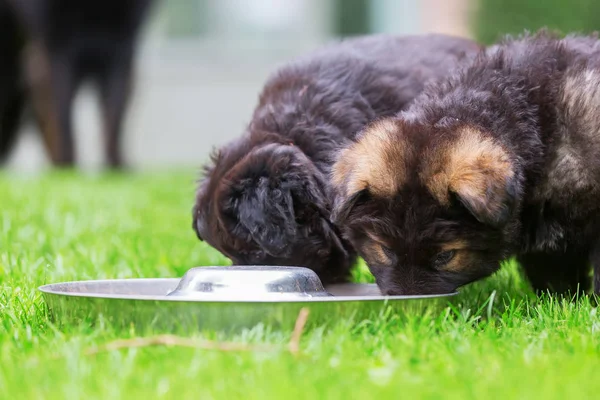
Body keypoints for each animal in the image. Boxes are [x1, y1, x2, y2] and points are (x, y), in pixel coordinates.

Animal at [1, 0, 155, 167]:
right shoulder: (55, 54)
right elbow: (64, 130)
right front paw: (65, 169)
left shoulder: (121, 51)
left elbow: (113, 127)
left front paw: (116, 169)